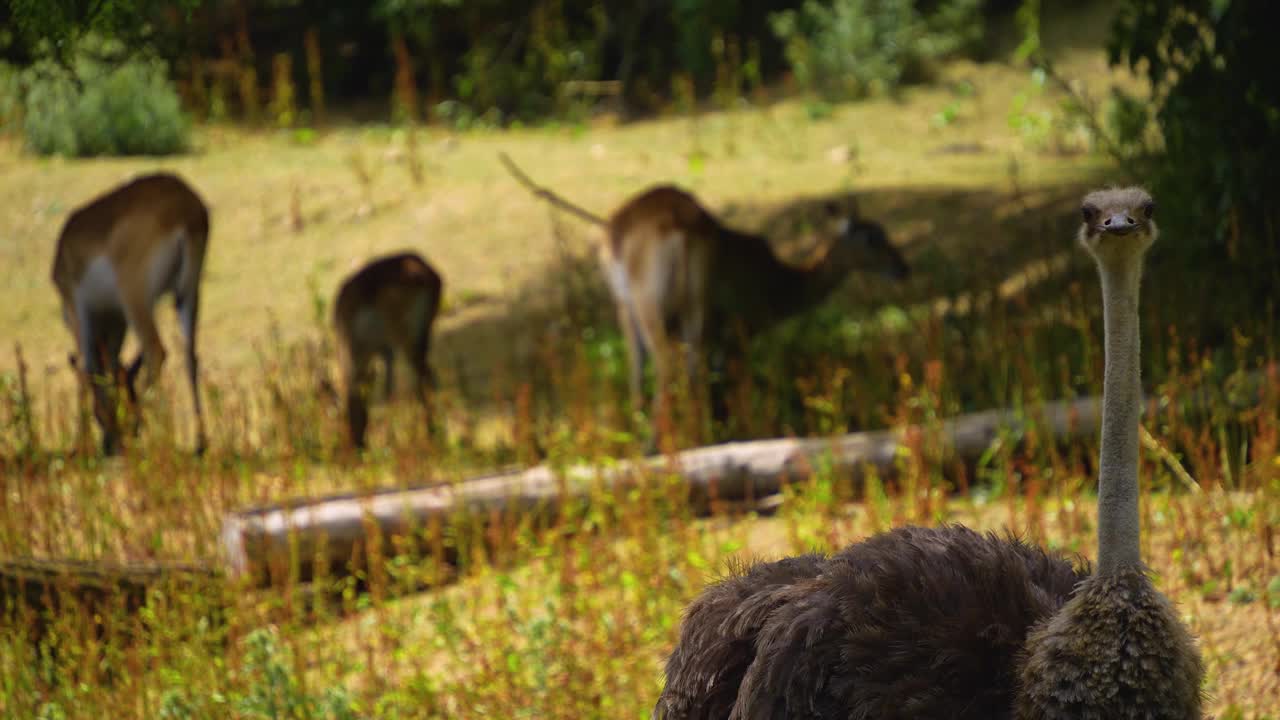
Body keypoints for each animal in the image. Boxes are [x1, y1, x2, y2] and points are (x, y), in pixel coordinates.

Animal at [51, 172, 209, 453]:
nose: (110, 442)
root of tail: (187, 207)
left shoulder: (77, 309)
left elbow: (85, 368)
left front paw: (80, 446)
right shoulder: (117, 322)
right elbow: (110, 366)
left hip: (135, 297)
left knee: (157, 350)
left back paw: (150, 432)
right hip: (188, 294)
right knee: (190, 356)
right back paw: (199, 444)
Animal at [335, 249, 445, 445]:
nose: (358, 446)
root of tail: (424, 271)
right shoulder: (386, 351)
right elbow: (388, 391)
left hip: (406, 338)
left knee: (423, 378)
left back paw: (430, 436)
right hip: (422, 335)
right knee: (428, 376)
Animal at [499, 151, 911, 430]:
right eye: (873, 237)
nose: (903, 269)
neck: (778, 279)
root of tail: (682, 225)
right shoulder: (733, 331)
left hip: (653, 311)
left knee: (666, 371)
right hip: (687, 313)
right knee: (687, 372)